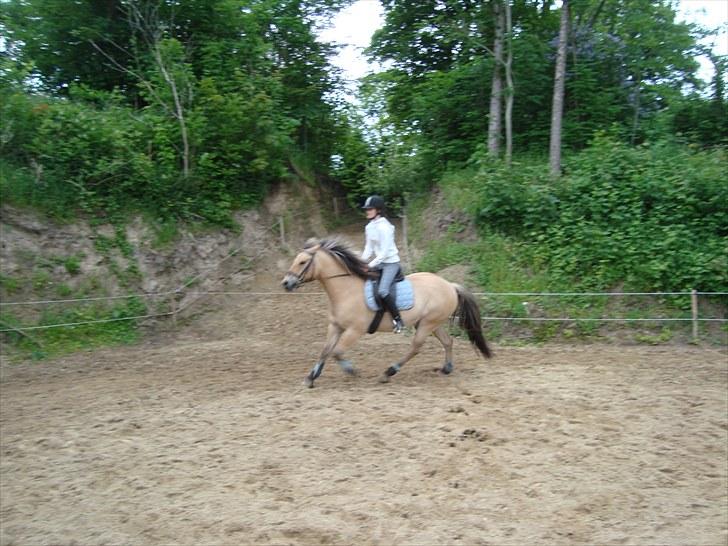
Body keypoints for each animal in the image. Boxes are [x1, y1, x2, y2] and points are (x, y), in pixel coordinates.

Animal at [282, 238, 492, 386]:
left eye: (302, 262)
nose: (286, 283)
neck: (346, 290)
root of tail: (450, 285)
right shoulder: (335, 326)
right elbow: (325, 351)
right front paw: (311, 377)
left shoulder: (354, 331)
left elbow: (337, 352)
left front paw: (351, 370)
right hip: (431, 323)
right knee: (447, 341)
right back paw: (446, 368)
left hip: (427, 324)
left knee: (416, 347)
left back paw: (388, 372)